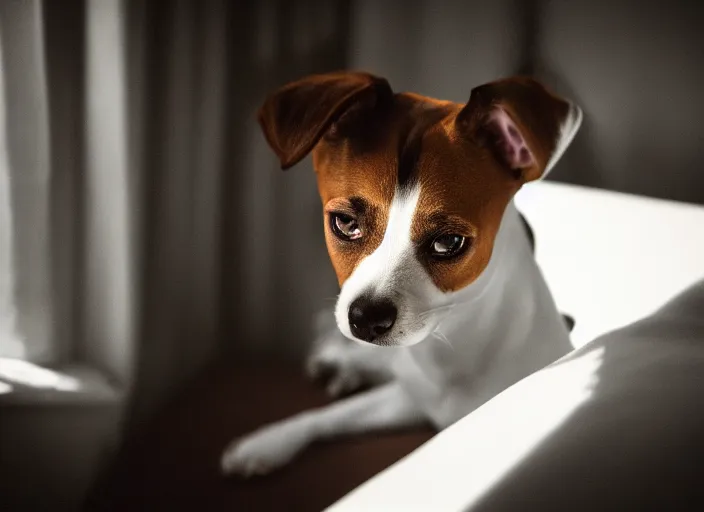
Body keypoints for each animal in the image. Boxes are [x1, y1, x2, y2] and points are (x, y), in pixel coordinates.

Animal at [221, 71, 584, 476]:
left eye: (448, 242)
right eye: (344, 222)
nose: (366, 319)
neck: (451, 350)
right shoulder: (407, 398)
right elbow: (331, 417)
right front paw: (268, 441)